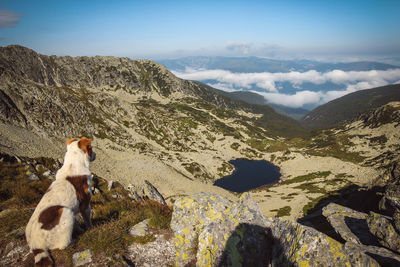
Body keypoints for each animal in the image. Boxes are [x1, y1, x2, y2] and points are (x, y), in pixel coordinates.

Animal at [25, 137, 96, 266]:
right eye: (91, 148)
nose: (95, 155)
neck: (72, 164)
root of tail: (36, 245)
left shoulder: (75, 210)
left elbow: (77, 223)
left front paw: (80, 229)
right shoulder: (85, 204)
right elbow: (88, 220)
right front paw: (90, 228)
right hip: (64, 211)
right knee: (62, 245)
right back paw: (73, 240)